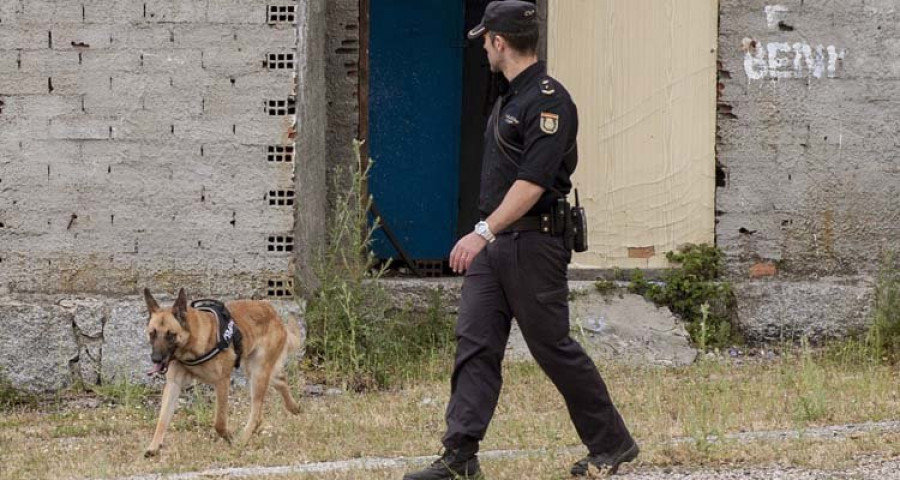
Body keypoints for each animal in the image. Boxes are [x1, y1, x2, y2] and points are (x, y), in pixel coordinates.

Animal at [142, 288, 300, 458]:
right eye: (152, 334)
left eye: (170, 335)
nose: (155, 359)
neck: (192, 344)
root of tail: (272, 311)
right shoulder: (173, 385)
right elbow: (162, 419)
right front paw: (154, 446)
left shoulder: (222, 382)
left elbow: (219, 422)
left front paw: (229, 437)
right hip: (254, 372)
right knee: (281, 381)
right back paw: (294, 407)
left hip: (258, 373)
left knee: (257, 414)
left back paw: (242, 440)